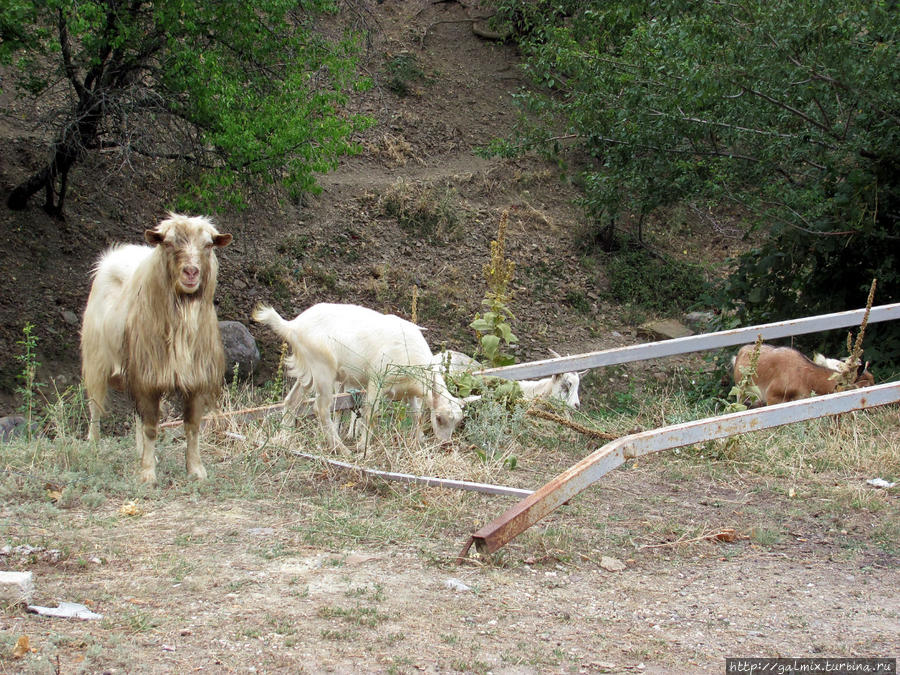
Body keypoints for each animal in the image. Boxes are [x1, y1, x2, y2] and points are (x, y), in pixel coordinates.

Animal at [80, 214, 232, 484]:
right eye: (168, 243)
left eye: (208, 245)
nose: (191, 272)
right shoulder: (147, 378)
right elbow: (151, 427)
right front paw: (148, 474)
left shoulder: (194, 379)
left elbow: (192, 426)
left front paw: (196, 469)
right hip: (96, 359)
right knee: (95, 406)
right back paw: (94, 445)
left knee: (136, 416)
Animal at [251, 304, 464, 452]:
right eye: (439, 419)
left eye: (457, 423)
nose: (445, 444)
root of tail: (292, 325)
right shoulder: (377, 381)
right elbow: (371, 414)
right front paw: (364, 447)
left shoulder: (409, 390)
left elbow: (417, 414)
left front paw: (419, 439)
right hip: (323, 371)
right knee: (320, 408)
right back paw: (341, 449)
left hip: (308, 373)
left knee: (292, 401)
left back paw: (286, 439)